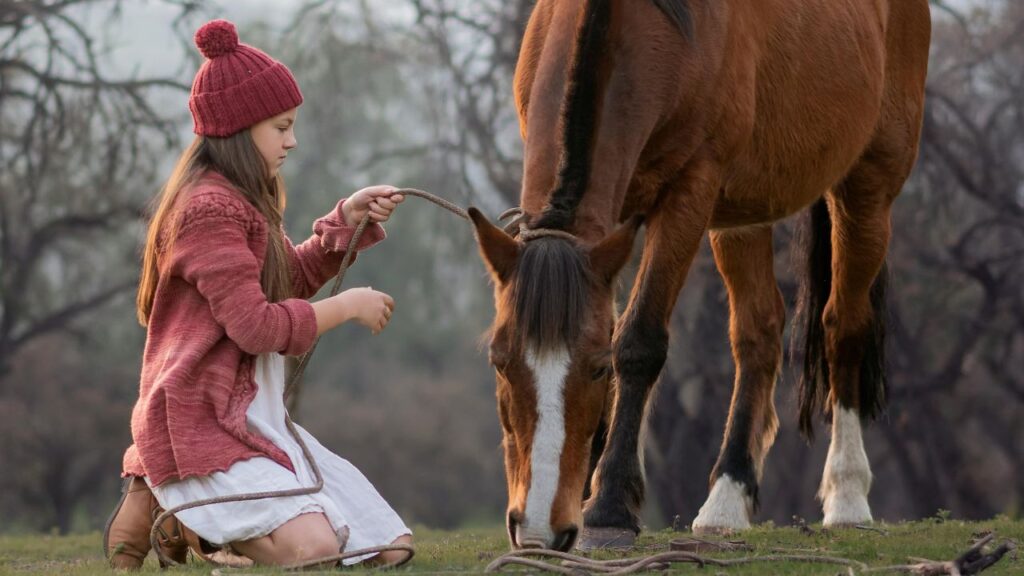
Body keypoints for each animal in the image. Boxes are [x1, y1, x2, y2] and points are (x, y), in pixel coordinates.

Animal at [467, 0, 931, 551]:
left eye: (597, 369)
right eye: (499, 361)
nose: (537, 529)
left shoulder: (690, 192)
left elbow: (637, 342)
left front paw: (608, 506)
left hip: (868, 187)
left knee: (844, 326)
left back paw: (847, 493)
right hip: (743, 215)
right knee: (758, 334)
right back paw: (728, 497)